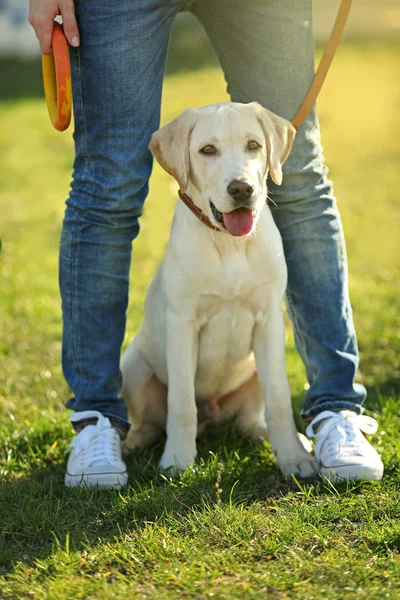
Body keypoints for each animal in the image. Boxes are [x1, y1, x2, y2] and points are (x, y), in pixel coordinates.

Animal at [121, 102, 318, 478]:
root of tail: (211, 415)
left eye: (254, 145)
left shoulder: (269, 322)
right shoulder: (182, 324)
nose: (241, 189)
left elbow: (279, 398)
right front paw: (178, 460)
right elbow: (181, 402)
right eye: (208, 150)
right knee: (150, 423)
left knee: (250, 419)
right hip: (133, 366)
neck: (230, 244)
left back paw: (272, 435)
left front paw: (294, 457)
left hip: (254, 369)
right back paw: (131, 445)